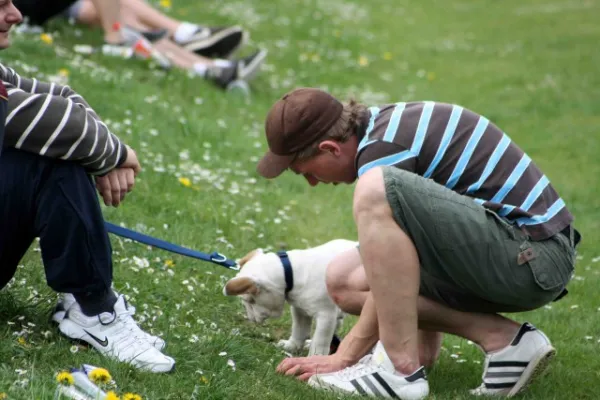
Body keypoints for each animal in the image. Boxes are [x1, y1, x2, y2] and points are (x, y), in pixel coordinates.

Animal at [224, 239, 356, 354]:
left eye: (250, 300)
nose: (251, 319)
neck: (292, 273)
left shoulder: (326, 316)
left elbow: (320, 341)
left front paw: (314, 359)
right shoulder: (299, 310)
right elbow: (299, 330)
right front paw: (291, 346)